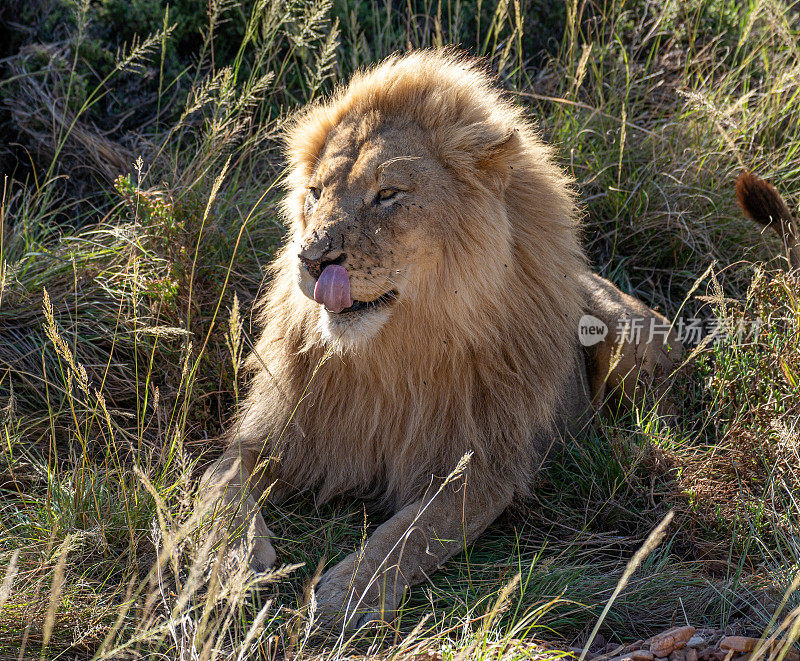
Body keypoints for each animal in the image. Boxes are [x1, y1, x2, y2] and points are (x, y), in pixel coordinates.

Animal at [197, 49, 684, 628]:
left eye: (388, 195)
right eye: (314, 193)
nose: (312, 261)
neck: (392, 351)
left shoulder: (483, 466)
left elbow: (409, 533)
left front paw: (346, 593)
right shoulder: (274, 435)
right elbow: (218, 484)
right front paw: (234, 562)